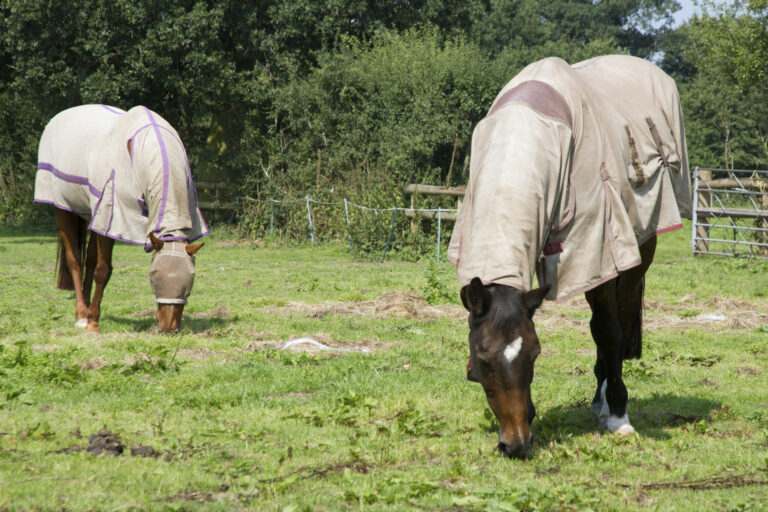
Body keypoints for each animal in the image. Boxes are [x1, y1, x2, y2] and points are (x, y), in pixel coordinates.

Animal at [34, 106, 207, 334]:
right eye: (154, 276)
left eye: (189, 281)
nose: (169, 328)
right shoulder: (113, 220)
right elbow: (103, 271)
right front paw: (93, 323)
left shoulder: (103, 223)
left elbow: (96, 267)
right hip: (63, 209)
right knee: (75, 261)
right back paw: (82, 315)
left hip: (94, 217)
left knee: (89, 262)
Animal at [448, 56, 692, 460]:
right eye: (483, 360)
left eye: (534, 355)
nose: (515, 444)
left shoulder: (595, 253)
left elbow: (608, 332)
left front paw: (619, 417)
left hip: (635, 254)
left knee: (615, 324)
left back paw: (608, 403)